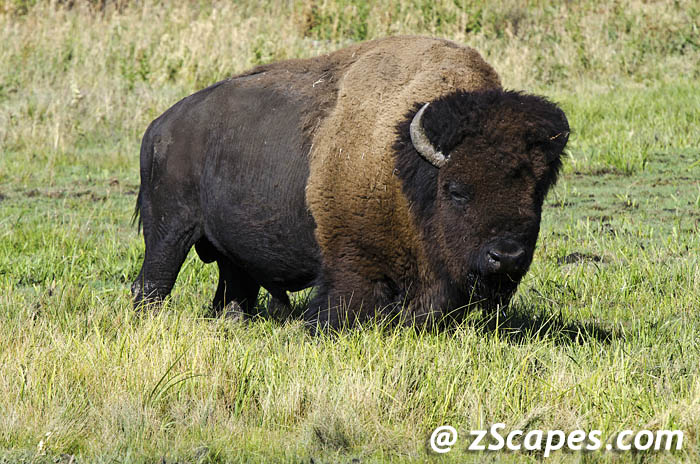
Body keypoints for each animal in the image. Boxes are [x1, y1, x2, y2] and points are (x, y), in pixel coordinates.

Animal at [131, 36, 569, 329]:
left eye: (536, 193)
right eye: (457, 190)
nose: (506, 257)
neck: (405, 166)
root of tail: (158, 127)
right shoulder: (352, 265)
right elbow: (345, 307)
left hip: (231, 256)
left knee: (233, 292)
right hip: (169, 232)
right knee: (151, 285)